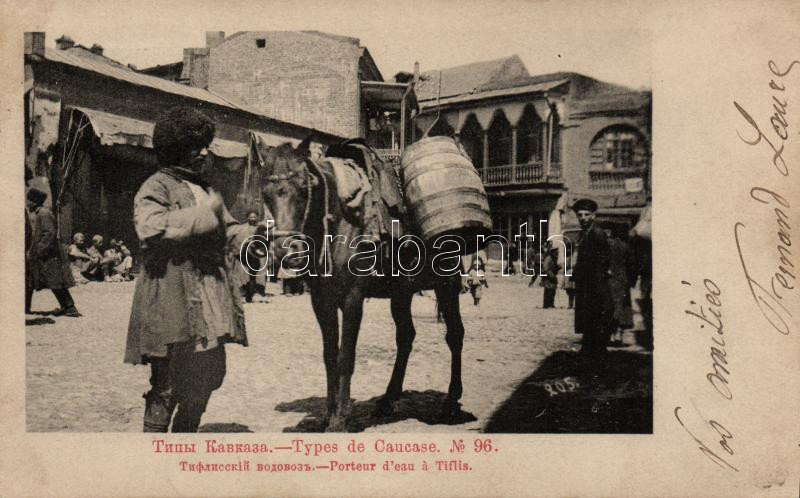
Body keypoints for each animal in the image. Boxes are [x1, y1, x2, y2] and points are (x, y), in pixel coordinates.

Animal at [257, 137, 468, 432]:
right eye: (266, 192)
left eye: (303, 189)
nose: (284, 251)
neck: (340, 219)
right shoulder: (321, 300)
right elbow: (329, 355)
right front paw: (328, 415)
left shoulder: (352, 298)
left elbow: (346, 356)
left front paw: (341, 419)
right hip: (401, 293)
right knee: (406, 337)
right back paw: (388, 400)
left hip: (447, 284)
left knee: (455, 335)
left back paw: (450, 402)